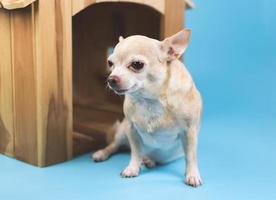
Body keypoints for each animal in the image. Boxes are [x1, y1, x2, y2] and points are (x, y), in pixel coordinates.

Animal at [92, 29, 203, 188]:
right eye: (110, 63)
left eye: (137, 64)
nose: (111, 79)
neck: (151, 100)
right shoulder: (131, 129)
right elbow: (136, 152)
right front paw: (132, 168)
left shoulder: (189, 132)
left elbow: (190, 156)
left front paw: (192, 174)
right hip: (122, 132)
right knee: (115, 145)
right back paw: (102, 153)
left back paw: (149, 160)